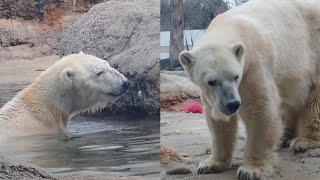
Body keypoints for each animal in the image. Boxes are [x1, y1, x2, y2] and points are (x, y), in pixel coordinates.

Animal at [179, 0, 320, 179]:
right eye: (211, 81)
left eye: (235, 76)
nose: (232, 104)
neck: (229, 26)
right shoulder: (212, 95)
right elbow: (217, 119)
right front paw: (211, 164)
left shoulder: (253, 65)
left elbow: (260, 108)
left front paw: (251, 170)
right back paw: (284, 137)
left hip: (313, 52)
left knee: (314, 98)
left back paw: (304, 141)